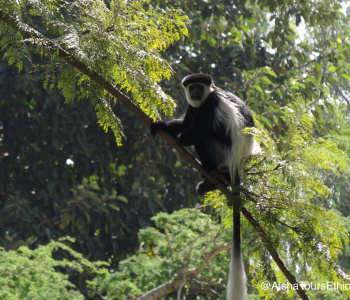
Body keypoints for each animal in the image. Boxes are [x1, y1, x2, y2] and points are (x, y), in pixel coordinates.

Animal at [149, 73, 258, 300]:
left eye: (200, 86)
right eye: (192, 87)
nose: (196, 93)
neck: (210, 94)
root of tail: (238, 166)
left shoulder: (212, 104)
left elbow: (201, 129)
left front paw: (176, 140)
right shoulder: (194, 106)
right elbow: (185, 122)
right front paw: (161, 125)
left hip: (222, 153)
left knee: (206, 137)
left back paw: (214, 174)